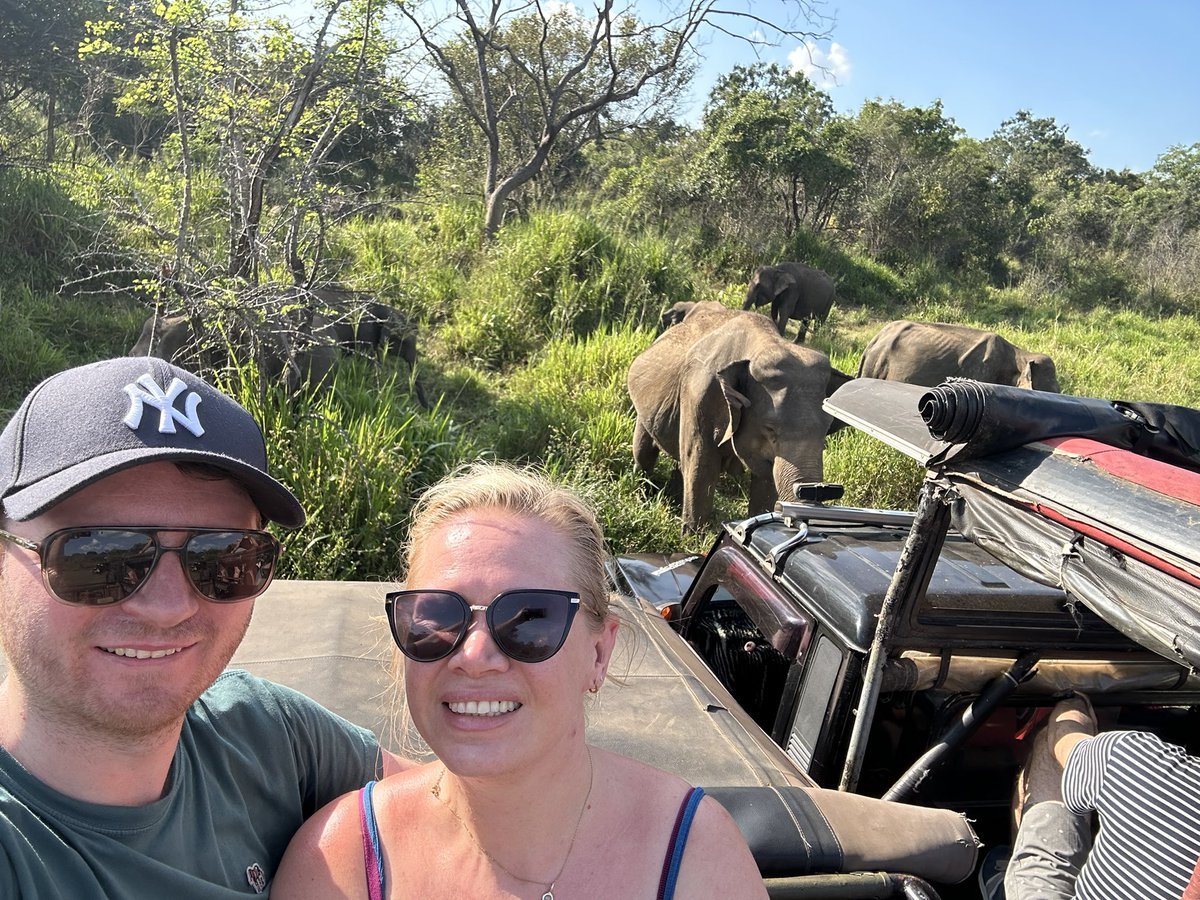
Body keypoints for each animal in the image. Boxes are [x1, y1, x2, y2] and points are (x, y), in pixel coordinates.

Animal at [628, 307, 854, 532]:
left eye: (826, 430)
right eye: (770, 429)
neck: (766, 344)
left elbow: (766, 483)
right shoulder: (699, 399)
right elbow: (702, 471)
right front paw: (693, 536)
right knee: (645, 452)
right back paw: (643, 497)